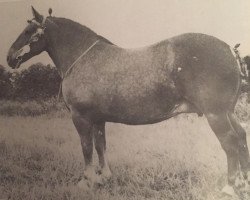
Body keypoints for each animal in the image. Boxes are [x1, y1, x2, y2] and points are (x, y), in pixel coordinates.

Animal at [6, 6, 250, 197]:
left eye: (28, 31)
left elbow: (86, 147)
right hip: (228, 112)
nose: (9, 57)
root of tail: (230, 49)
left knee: (230, 143)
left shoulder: (80, 117)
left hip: (216, 115)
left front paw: (86, 182)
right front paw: (103, 177)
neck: (81, 57)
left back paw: (229, 188)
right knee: (241, 137)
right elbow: (100, 145)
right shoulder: (98, 119)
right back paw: (243, 182)